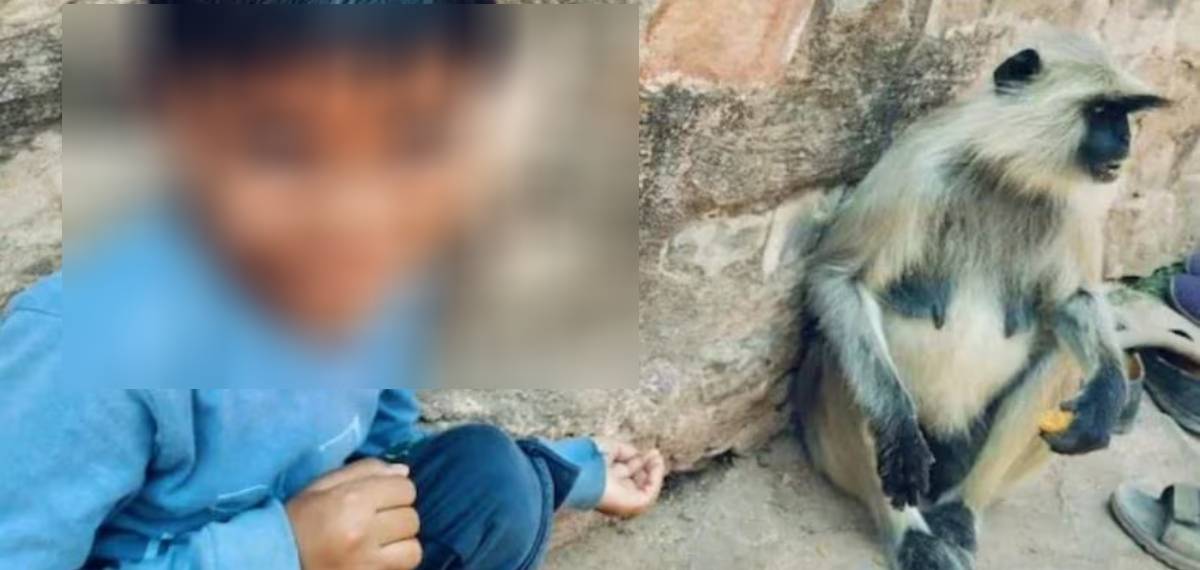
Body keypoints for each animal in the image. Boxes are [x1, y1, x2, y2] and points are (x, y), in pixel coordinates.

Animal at [791, 33, 1167, 570]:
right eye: (1100, 111)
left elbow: (1069, 301)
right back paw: (911, 532)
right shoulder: (917, 167)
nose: (1124, 142)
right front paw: (898, 434)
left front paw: (1108, 395)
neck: (1007, 173)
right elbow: (839, 280)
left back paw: (961, 512)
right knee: (848, 353)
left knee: (1062, 356)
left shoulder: (1071, 203)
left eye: (1124, 114)